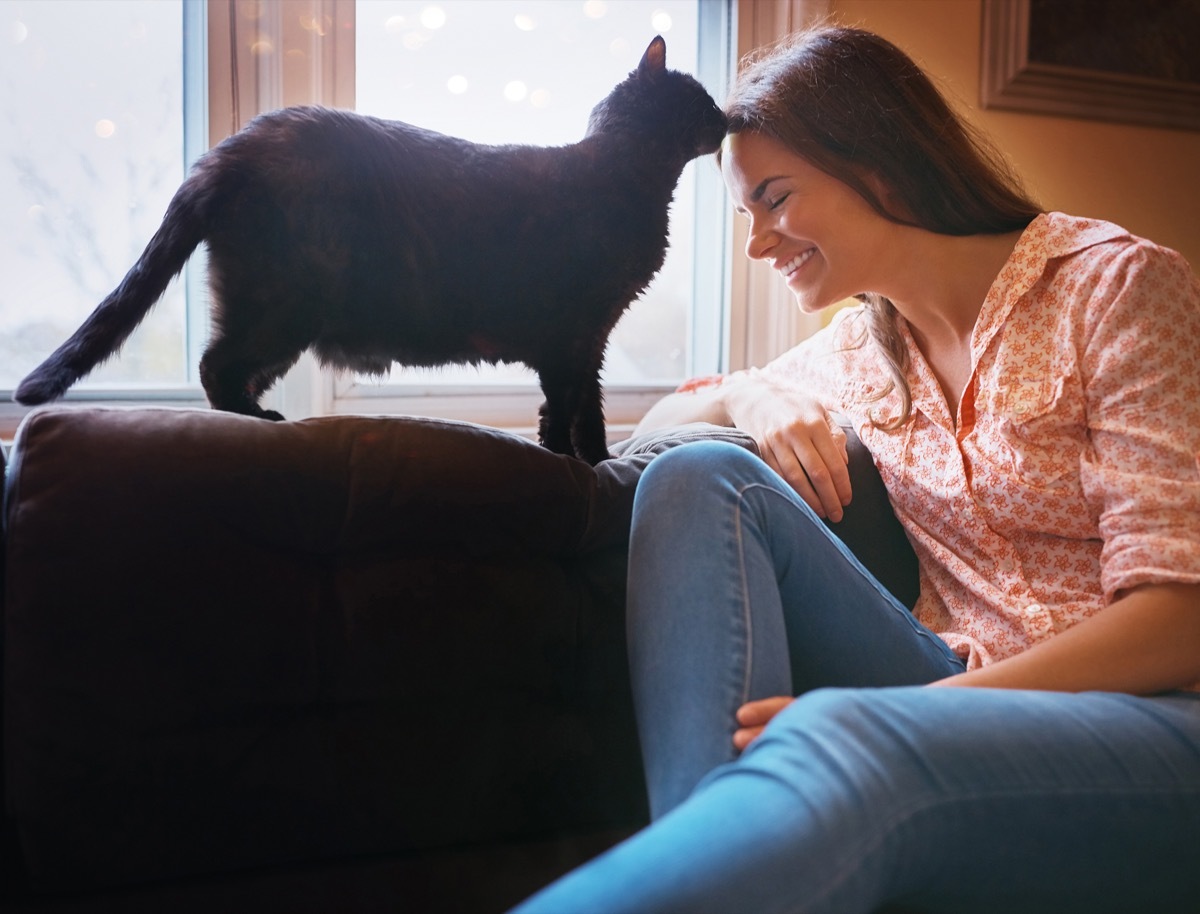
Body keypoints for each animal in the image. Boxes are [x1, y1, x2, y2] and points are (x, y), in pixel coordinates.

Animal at [14, 35, 724, 462]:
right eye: (700, 99)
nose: (729, 119)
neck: (627, 176)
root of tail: (226, 152)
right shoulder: (572, 334)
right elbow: (572, 405)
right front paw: (583, 462)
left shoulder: (588, 340)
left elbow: (581, 408)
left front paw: (594, 461)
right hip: (281, 305)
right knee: (215, 365)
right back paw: (256, 422)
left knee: (227, 367)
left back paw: (256, 415)